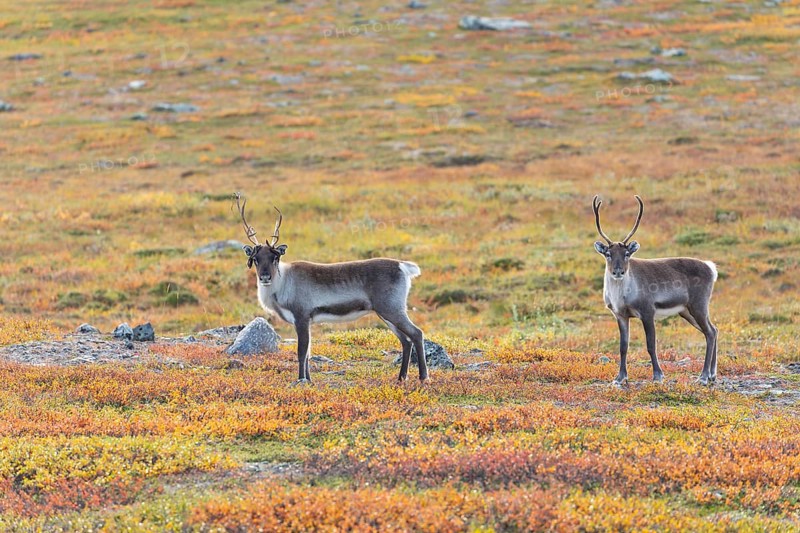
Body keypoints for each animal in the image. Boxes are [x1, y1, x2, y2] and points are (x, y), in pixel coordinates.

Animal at [235, 193, 429, 384]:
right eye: (256, 259)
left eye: (275, 258)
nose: (265, 277)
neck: (282, 285)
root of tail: (402, 265)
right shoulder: (308, 321)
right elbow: (308, 353)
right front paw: (309, 380)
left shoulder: (302, 317)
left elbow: (301, 352)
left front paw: (301, 380)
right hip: (386, 313)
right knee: (406, 340)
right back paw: (401, 377)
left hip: (392, 309)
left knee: (416, 333)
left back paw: (423, 377)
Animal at [592, 195, 719, 386]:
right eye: (608, 254)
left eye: (627, 254)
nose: (618, 271)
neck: (621, 296)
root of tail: (711, 268)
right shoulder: (620, 315)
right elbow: (623, 346)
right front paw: (620, 377)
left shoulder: (647, 311)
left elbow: (651, 345)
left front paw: (658, 375)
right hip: (686, 311)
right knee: (713, 330)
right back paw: (712, 374)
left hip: (699, 305)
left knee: (710, 333)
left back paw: (703, 376)